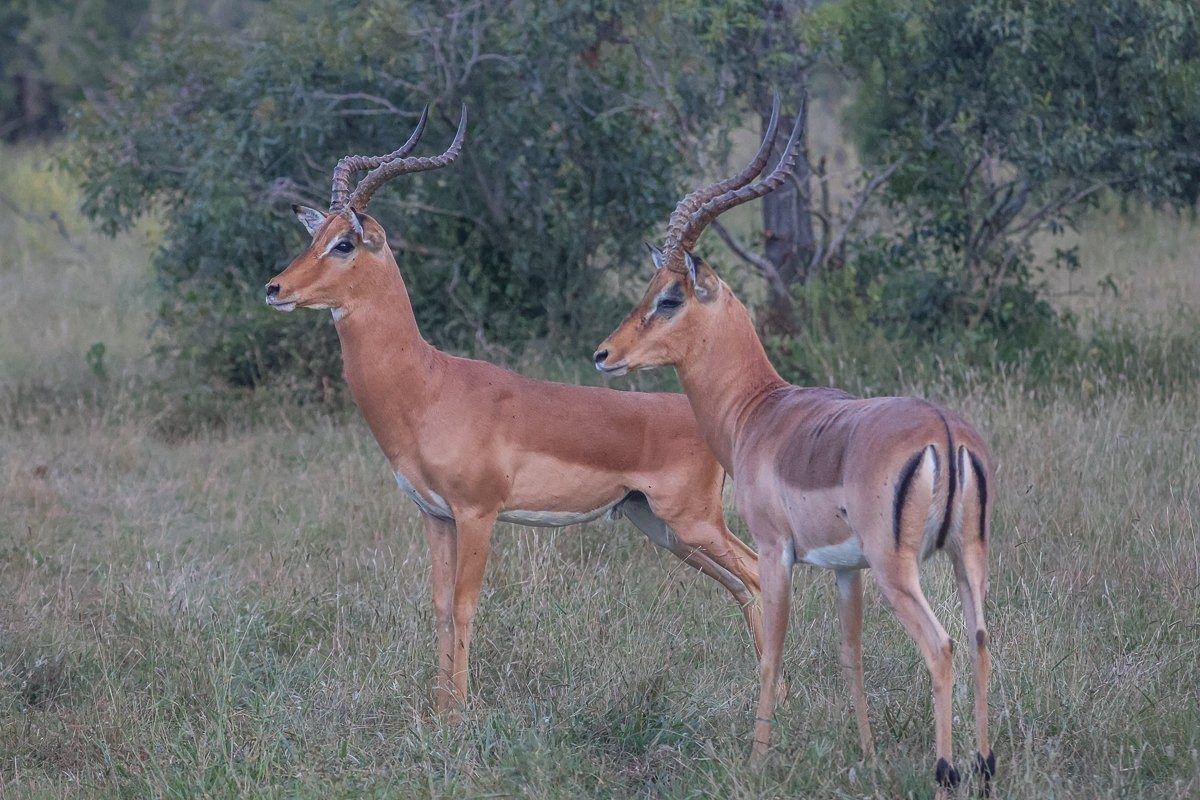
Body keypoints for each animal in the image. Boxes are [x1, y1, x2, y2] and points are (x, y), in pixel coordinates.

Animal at [263, 105, 764, 717]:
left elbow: (464, 606)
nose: (275, 287)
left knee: (759, 574)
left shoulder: (477, 513)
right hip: (662, 527)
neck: (427, 386)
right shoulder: (434, 516)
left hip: (694, 522)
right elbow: (437, 606)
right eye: (314, 235)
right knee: (744, 586)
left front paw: (457, 717)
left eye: (344, 243)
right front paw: (437, 711)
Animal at [593, 95, 995, 793]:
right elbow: (850, 654)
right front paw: (866, 755)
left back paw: (946, 770)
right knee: (979, 641)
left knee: (941, 645)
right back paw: (986, 764)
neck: (760, 412)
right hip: (965, 556)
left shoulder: (777, 549)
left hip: (899, 568)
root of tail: (944, 433)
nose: (604, 354)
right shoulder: (844, 568)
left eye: (669, 297)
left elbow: (772, 647)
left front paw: (757, 759)